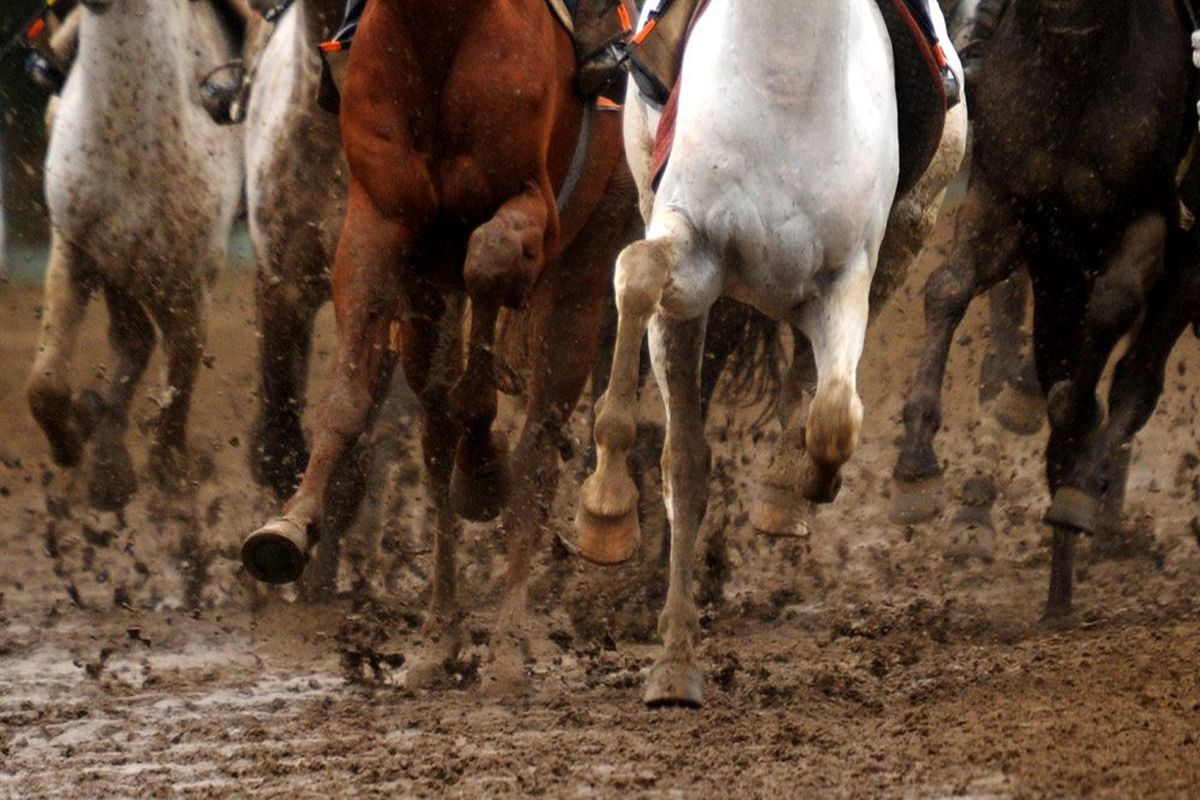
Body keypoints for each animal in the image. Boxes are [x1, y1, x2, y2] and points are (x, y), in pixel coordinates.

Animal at [28, 0, 242, 510]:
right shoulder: (76, 249)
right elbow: (45, 382)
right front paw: (74, 443)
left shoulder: (191, 281)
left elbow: (180, 378)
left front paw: (178, 471)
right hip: (123, 268)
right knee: (134, 341)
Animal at [244, 0, 638, 690]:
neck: (435, 30)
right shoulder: (376, 224)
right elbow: (349, 396)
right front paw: (289, 525)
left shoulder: (530, 206)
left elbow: (490, 270)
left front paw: (482, 469)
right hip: (430, 301)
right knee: (434, 427)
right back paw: (440, 636)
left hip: (586, 259)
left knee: (538, 444)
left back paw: (507, 640)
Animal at [578, 0, 964, 705]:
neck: (785, 78)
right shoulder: (693, 251)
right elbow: (638, 274)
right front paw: (606, 504)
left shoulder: (844, 279)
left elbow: (835, 418)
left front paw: (805, 477)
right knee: (686, 461)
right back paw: (675, 661)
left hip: (906, 234)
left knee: (817, 389)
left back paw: (786, 487)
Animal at [892, 0, 1200, 618]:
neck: (1072, 54)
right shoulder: (1012, 209)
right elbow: (948, 287)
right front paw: (915, 459)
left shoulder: (1149, 215)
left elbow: (1111, 310)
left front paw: (1076, 429)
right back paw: (1058, 587)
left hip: (1182, 264)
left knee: (1139, 379)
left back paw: (1081, 493)